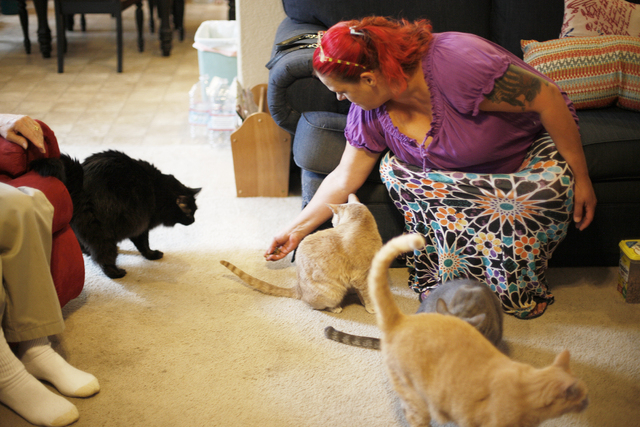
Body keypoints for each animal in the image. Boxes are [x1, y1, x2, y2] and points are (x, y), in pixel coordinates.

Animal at [31, 151, 200, 279]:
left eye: (195, 212)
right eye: (190, 213)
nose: (193, 220)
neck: (158, 190)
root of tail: (80, 180)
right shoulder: (141, 225)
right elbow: (144, 245)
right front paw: (152, 255)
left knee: (85, 245)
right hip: (102, 233)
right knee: (103, 258)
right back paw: (116, 273)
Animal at [220, 193, 383, 313]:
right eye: (332, 220)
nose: (332, 223)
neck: (361, 225)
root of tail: (299, 287)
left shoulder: (362, 277)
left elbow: (363, 294)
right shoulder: (360, 277)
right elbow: (367, 294)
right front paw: (371, 307)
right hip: (333, 292)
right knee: (318, 305)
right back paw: (336, 308)